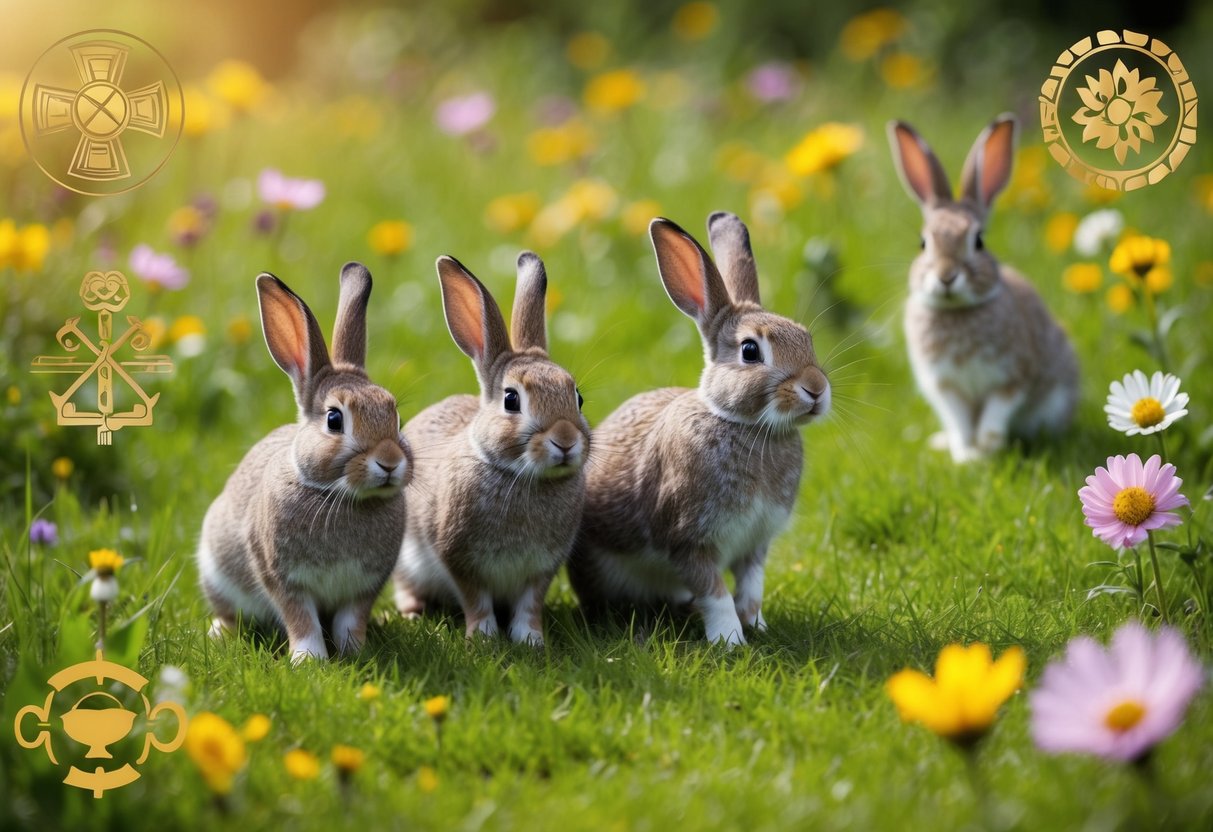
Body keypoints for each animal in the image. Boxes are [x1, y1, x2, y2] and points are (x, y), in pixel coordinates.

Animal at [197, 263, 411, 662]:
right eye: (334, 419)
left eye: (397, 418)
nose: (389, 463)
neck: (339, 496)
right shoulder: (282, 578)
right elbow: (301, 619)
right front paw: (309, 661)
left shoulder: (364, 588)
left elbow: (351, 620)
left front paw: (356, 652)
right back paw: (219, 632)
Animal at [392, 252, 589, 646]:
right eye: (511, 400)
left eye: (578, 399)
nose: (566, 441)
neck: (522, 476)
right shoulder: (459, 560)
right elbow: (476, 600)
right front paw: (483, 639)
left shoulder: (541, 569)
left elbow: (529, 605)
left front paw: (530, 640)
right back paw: (412, 611)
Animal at [568, 212, 830, 647]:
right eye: (750, 351)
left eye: (807, 339)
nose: (816, 389)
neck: (748, 426)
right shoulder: (688, 540)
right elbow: (716, 592)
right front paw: (731, 641)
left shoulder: (755, 542)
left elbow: (751, 587)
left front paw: (755, 625)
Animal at [887, 114, 1079, 463]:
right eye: (923, 244)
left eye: (978, 241)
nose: (947, 276)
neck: (958, 312)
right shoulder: (945, 386)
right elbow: (960, 422)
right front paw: (966, 457)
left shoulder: (1012, 378)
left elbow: (994, 414)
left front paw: (987, 451)